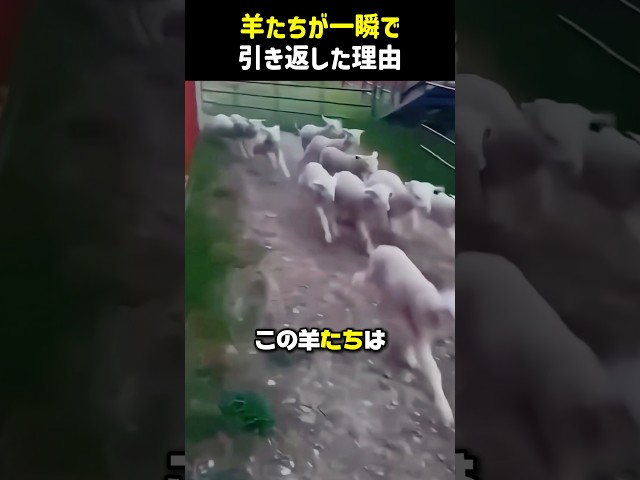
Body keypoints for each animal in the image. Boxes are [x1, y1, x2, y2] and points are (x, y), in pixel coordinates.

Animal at [351, 245, 455, 427]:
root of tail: (381, 247)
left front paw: (410, 359)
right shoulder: (419, 331)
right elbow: (433, 370)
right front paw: (446, 413)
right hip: (373, 276)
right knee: (359, 279)